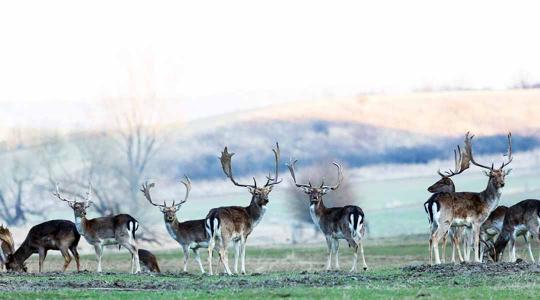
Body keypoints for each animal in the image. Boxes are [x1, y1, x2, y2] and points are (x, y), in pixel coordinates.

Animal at [206, 142, 282, 274]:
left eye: (267, 192)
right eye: (256, 193)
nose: (266, 200)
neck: (251, 218)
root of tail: (213, 215)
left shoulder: (236, 238)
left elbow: (236, 253)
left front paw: (235, 271)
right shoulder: (244, 234)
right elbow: (242, 253)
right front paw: (242, 271)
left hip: (211, 235)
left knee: (210, 249)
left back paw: (211, 273)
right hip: (225, 234)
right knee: (222, 251)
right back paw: (229, 273)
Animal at [430, 132, 516, 264]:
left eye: (503, 175)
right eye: (492, 175)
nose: (502, 183)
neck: (486, 203)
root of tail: (434, 201)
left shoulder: (468, 225)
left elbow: (469, 243)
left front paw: (467, 260)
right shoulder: (477, 222)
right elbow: (475, 243)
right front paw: (477, 261)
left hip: (434, 223)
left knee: (430, 238)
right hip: (445, 221)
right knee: (435, 238)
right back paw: (438, 262)